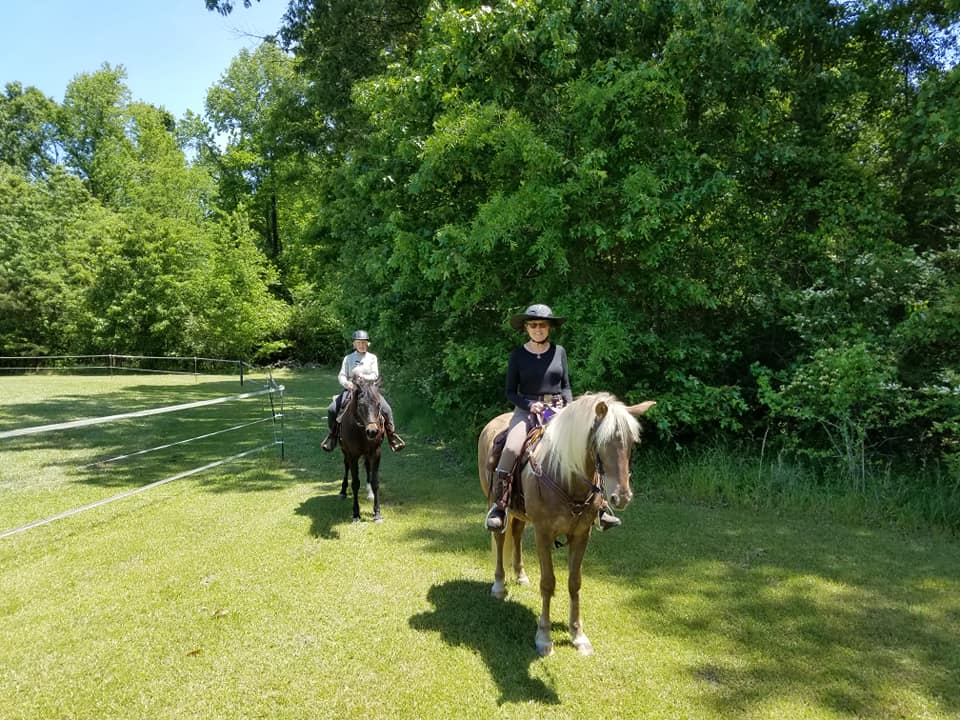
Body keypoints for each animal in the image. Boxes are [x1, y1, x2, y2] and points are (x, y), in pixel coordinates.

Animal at [337, 378, 386, 522]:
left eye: (378, 404)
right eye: (360, 405)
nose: (372, 431)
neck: (361, 431)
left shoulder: (376, 453)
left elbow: (375, 482)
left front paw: (377, 513)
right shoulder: (352, 455)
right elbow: (355, 484)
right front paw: (356, 513)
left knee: (367, 467)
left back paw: (370, 493)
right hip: (345, 451)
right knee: (346, 465)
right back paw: (342, 491)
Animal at [478, 393, 655, 656]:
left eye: (632, 442)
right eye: (602, 442)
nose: (621, 497)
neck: (566, 478)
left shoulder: (581, 534)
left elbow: (575, 582)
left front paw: (578, 636)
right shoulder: (543, 533)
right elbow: (548, 582)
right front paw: (544, 637)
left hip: (521, 513)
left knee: (517, 535)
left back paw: (520, 575)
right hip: (497, 503)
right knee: (500, 538)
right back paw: (499, 585)